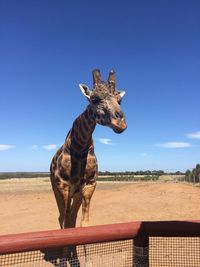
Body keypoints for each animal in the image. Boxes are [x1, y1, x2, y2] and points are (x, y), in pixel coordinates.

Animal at [49, 68, 126, 262]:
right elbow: (65, 224)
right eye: (94, 99)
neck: (80, 147)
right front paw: (64, 260)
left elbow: (84, 225)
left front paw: (83, 261)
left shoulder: (90, 184)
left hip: (76, 193)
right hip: (57, 189)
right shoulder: (63, 185)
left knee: (71, 219)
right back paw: (63, 255)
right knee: (62, 218)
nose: (121, 123)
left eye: (120, 100)